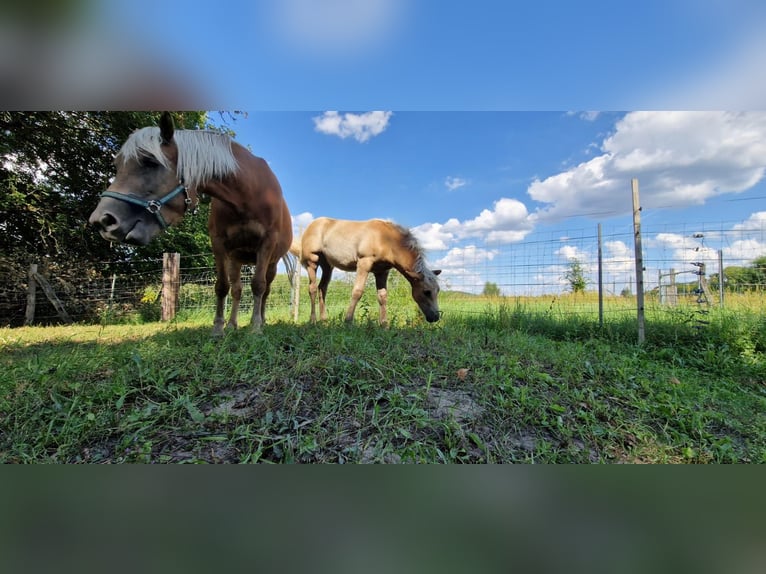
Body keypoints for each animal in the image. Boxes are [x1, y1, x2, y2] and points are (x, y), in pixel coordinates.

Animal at [88, 113, 292, 336]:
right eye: (117, 166)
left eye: (150, 162)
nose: (102, 219)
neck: (246, 195)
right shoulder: (219, 243)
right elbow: (222, 286)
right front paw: (218, 329)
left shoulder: (266, 243)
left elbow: (258, 285)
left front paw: (255, 327)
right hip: (236, 259)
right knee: (237, 290)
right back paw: (232, 324)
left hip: (272, 262)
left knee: (266, 290)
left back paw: (261, 320)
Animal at [290, 217, 444, 326]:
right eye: (426, 292)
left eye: (438, 291)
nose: (436, 317)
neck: (386, 240)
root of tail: (311, 226)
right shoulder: (364, 263)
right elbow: (357, 291)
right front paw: (348, 321)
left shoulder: (382, 271)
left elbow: (382, 296)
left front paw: (384, 324)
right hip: (312, 261)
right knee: (312, 289)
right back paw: (313, 320)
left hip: (328, 266)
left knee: (322, 288)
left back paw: (324, 321)